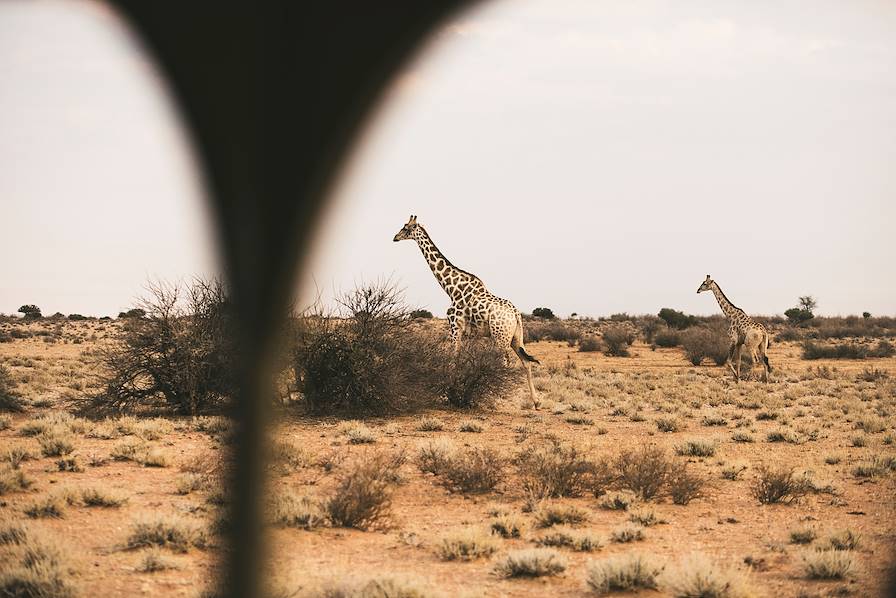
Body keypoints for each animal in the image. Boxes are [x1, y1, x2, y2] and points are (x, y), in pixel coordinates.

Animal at [394, 216, 540, 404]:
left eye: (406, 228)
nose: (395, 237)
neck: (451, 288)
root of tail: (516, 314)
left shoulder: (454, 328)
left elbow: (453, 359)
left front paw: (450, 392)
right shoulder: (468, 334)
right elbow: (461, 359)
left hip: (500, 337)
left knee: (504, 362)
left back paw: (498, 398)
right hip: (516, 338)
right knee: (526, 362)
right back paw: (536, 402)